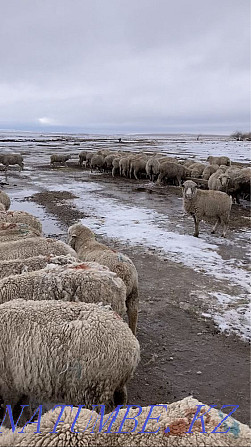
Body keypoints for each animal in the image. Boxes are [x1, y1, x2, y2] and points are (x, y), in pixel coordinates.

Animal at [0, 300, 140, 412]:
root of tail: (132, 344)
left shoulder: (8, 383)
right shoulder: (20, 382)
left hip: (94, 389)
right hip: (113, 385)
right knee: (121, 401)